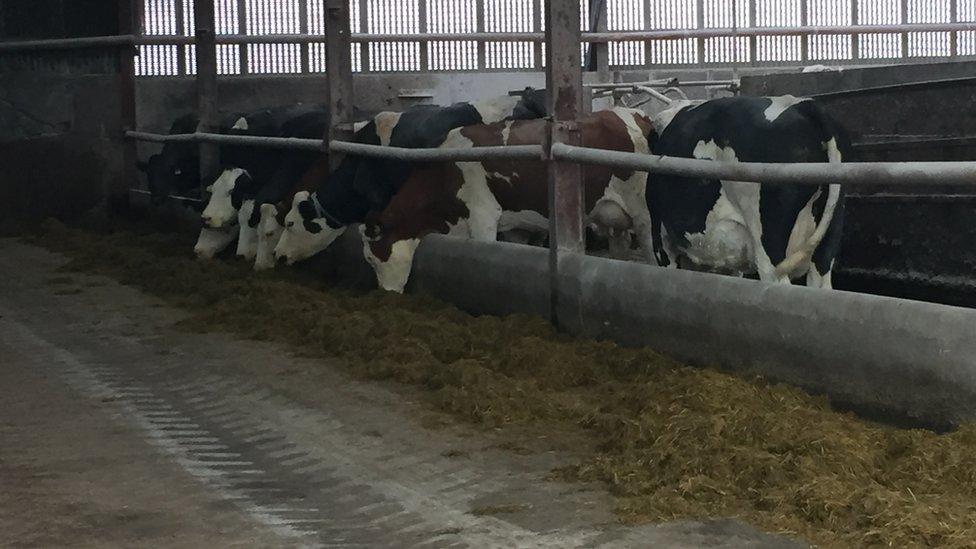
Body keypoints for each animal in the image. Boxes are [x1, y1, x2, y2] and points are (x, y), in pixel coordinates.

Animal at [360, 108, 656, 296]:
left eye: (372, 258)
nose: (386, 295)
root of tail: (632, 114)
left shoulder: (483, 215)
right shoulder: (514, 227)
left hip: (642, 209)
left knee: (649, 246)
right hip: (613, 215)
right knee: (620, 244)